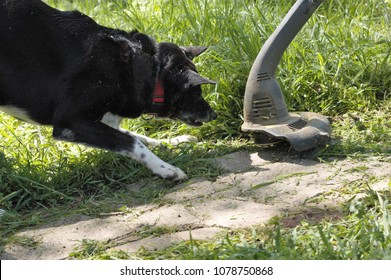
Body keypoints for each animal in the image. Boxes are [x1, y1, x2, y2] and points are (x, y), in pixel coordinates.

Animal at [0, 0, 217, 182]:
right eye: (196, 93)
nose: (214, 115)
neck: (146, 68)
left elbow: (139, 137)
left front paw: (174, 141)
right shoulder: (70, 121)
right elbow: (131, 141)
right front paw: (166, 168)